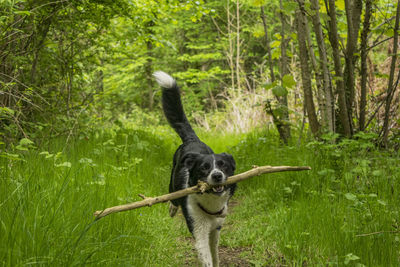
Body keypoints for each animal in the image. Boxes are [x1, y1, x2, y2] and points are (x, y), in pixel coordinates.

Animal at [152, 71, 234, 267]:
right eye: (204, 168)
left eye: (224, 166)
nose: (217, 176)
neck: (210, 204)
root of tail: (192, 139)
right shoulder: (198, 228)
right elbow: (206, 257)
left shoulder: (216, 227)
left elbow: (215, 253)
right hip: (173, 180)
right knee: (172, 196)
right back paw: (173, 209)